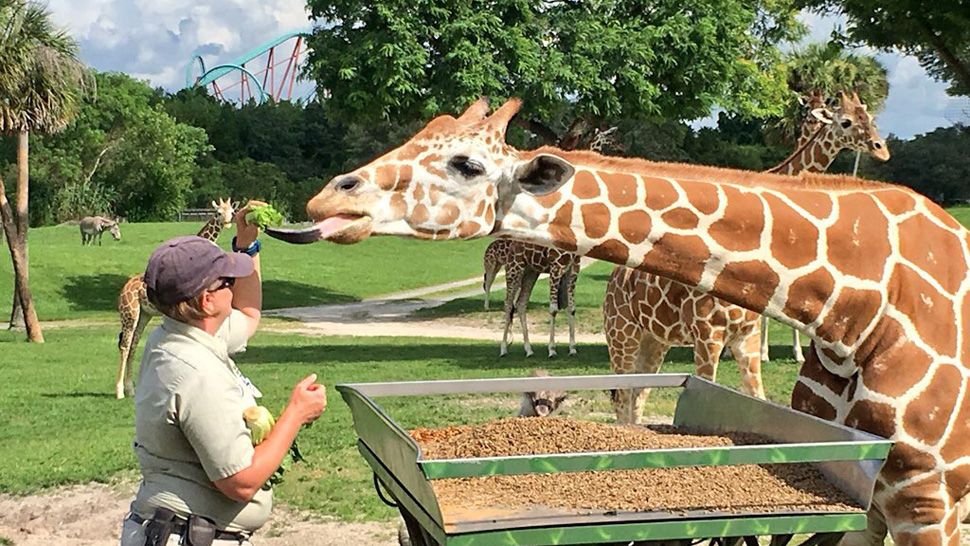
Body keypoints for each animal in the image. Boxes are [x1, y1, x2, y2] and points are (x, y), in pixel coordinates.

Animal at [115, 198, 236, 398]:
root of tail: (123, 289)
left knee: (133, 343)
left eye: (231, 212)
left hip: (144, 315)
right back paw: (119, 391)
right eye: (218, 212)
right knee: (124, 345)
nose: (227, 223)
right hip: (129, 313)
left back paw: (130, 389)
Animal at [266, 98, 970, 544]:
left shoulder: (921, 499)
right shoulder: (876, 496)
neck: (854, 309)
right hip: (632, 340)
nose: (325, 199)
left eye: (467, 164)